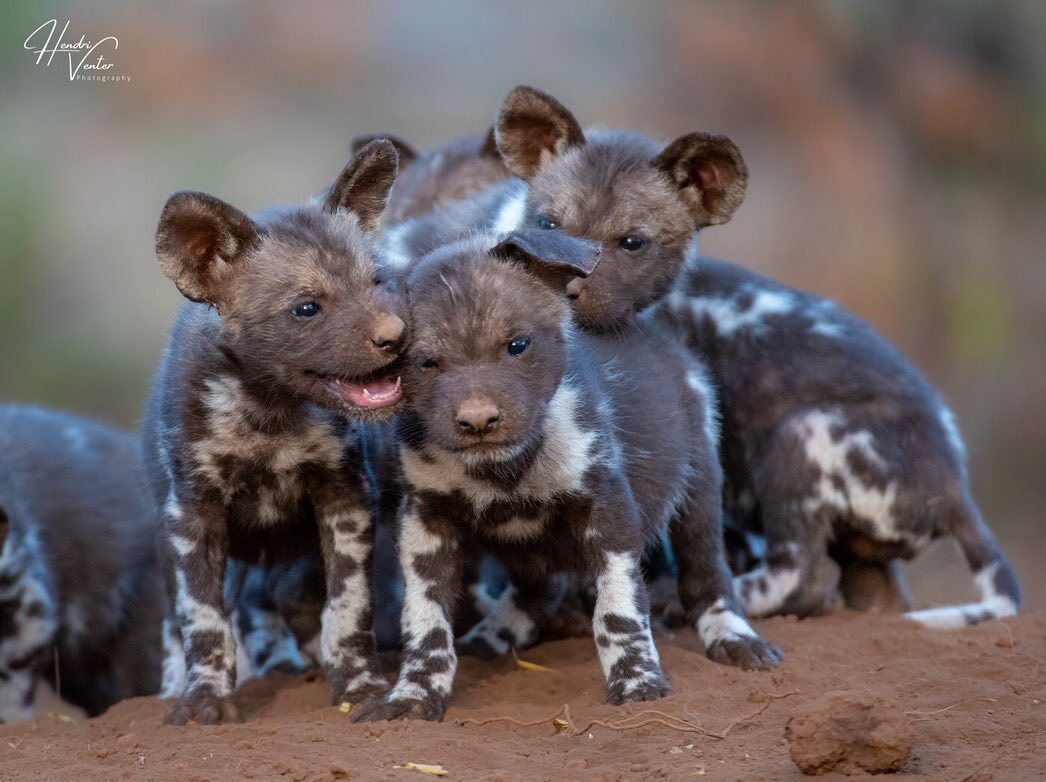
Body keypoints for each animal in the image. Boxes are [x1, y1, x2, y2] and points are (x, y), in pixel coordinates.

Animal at [143, 136, 407, 723]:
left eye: (378, 283)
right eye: (306, 308)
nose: (397, 336)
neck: (268, 413)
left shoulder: (346, 499)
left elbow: (349, 607)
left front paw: (359, 685)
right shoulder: (191, 514)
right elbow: (204, 620)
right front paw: (204, 701)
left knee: (297, 600)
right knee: (174, 621)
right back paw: (171, 688)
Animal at [353, 228, 786, 723]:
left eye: (517, 345)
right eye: (426, 363)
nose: (479, 421)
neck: (503, 471)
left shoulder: (608, 510)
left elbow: (618, 610)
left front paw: (638, 686)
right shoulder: (426, 521)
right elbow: (426, 622)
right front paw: (412, 696)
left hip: (700, 483)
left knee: (708, 571)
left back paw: (734, 638)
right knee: (540, 587)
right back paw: (494, 636)